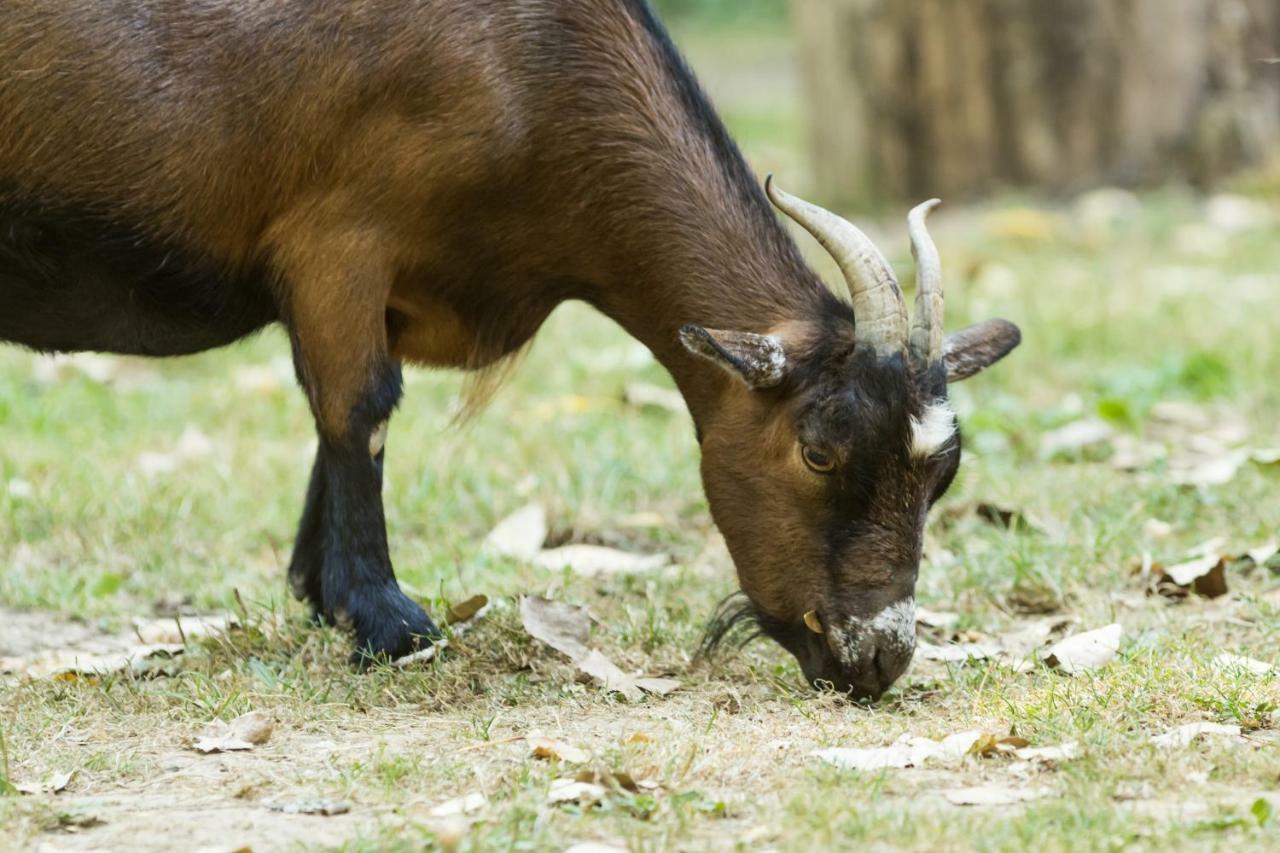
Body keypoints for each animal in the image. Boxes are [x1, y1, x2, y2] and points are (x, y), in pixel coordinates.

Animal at [0, 1, 1018, 696]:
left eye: (945, 474)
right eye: (817, 449)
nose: (875, 658)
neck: (528, 67)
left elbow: (338, 426)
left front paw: (322, 593)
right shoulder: (337, 238)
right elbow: (360, 409)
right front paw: (389, 623)